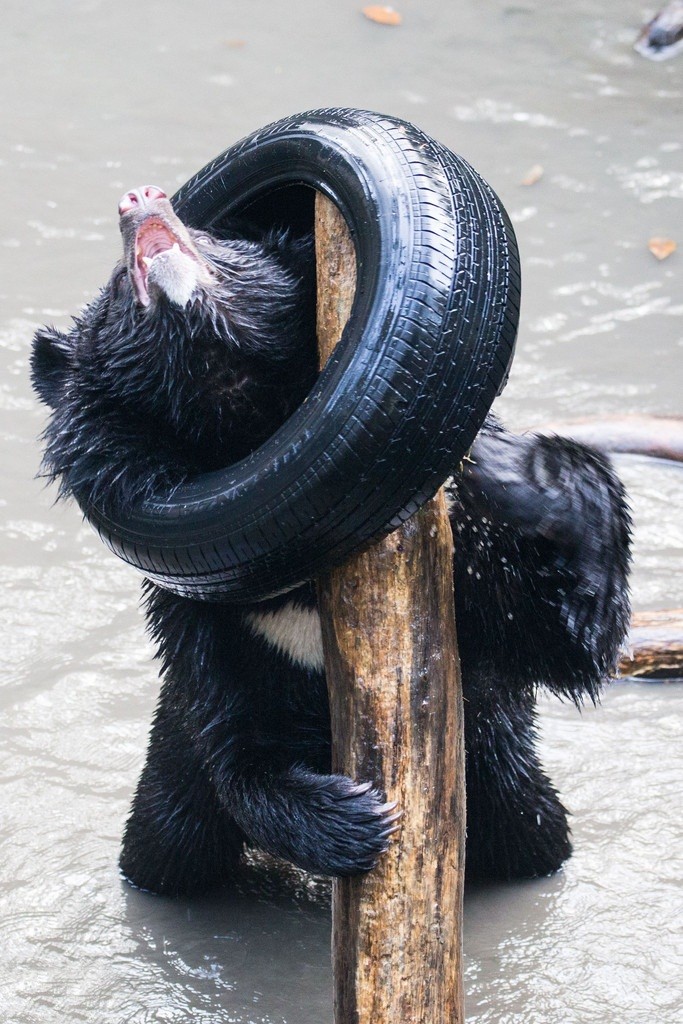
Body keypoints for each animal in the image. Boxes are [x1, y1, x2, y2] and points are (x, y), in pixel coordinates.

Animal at [30, 188, 630, 892]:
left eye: (215, 238)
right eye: (119, 285)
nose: (140, 200)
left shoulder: (466, 591)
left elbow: (561, 639)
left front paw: (508, 467)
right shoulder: (202, 622)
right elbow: (234, 741)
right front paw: (356, 820)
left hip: (509, 791)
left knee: (535, 838)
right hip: (167, 799)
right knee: (163, 847)